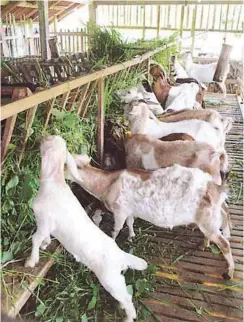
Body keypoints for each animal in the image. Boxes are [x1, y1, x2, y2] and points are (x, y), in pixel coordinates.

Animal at [25, 135, 147, 322]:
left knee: (127, 298)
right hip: (116, 279)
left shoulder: (46, 221)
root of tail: (121, 256)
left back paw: (128, 317)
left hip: (110, 280)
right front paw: (45, 245)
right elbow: (44, 238)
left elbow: (35, 238)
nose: (41, 137)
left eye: (48, 141)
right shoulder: (45, 225)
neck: (54, 184)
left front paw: (31, 261)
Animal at [67, 155, 235, 280]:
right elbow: (130, 222)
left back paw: (229, 273)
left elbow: (116, 229)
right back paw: (204, 245)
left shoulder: (120, 211)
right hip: (208, 220)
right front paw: (131, 236)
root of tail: (216, 188)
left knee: (225, 244)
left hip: (209, 221)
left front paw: (113, 240)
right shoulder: (129, 211)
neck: (108, 184)